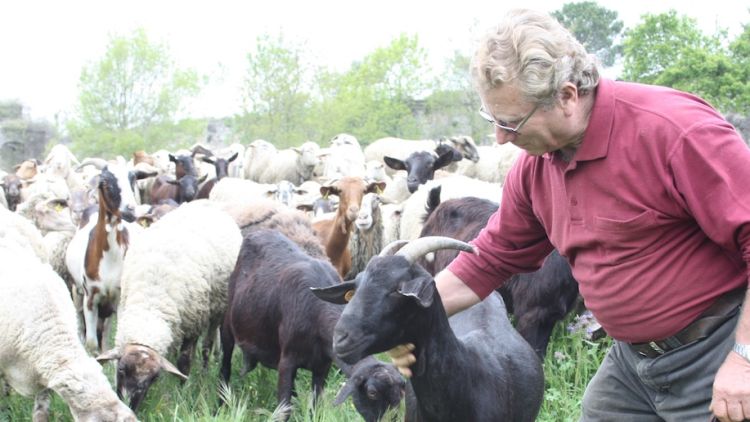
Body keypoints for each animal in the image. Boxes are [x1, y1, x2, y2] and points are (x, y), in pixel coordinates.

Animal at [95, 199, 239, 410]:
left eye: (153, 378)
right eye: (120, 369)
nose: (130, 406)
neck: (151, 304)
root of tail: (204, 202)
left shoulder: (193, 324)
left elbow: (184, 362)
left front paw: (181, 391)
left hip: (218, 307)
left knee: (208, 343)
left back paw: (204, 370)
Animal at [220, 231, 406, 422]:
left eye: (402, 389)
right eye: (372, 393)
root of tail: (258, 233)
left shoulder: (322, 366)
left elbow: (315, 407)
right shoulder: (287, 361)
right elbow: (284, 409)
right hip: (227, 322)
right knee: (225, 362)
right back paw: (222, 404)